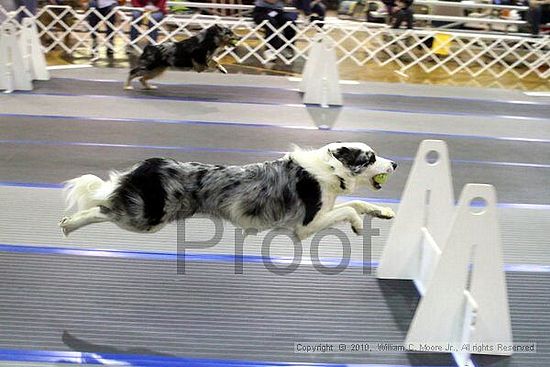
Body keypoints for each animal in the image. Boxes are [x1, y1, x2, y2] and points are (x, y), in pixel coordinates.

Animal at [59, 143, 396, 242]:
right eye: (371, 157)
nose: (395, 163)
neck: (330, 170)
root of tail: (148, 165)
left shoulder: (325, 210)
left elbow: (358, 201)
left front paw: (384, 211)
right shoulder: (305, 225)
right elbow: (349, 208)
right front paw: (357, 225)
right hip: (146, 217)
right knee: (101, 208)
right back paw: (68, 225)